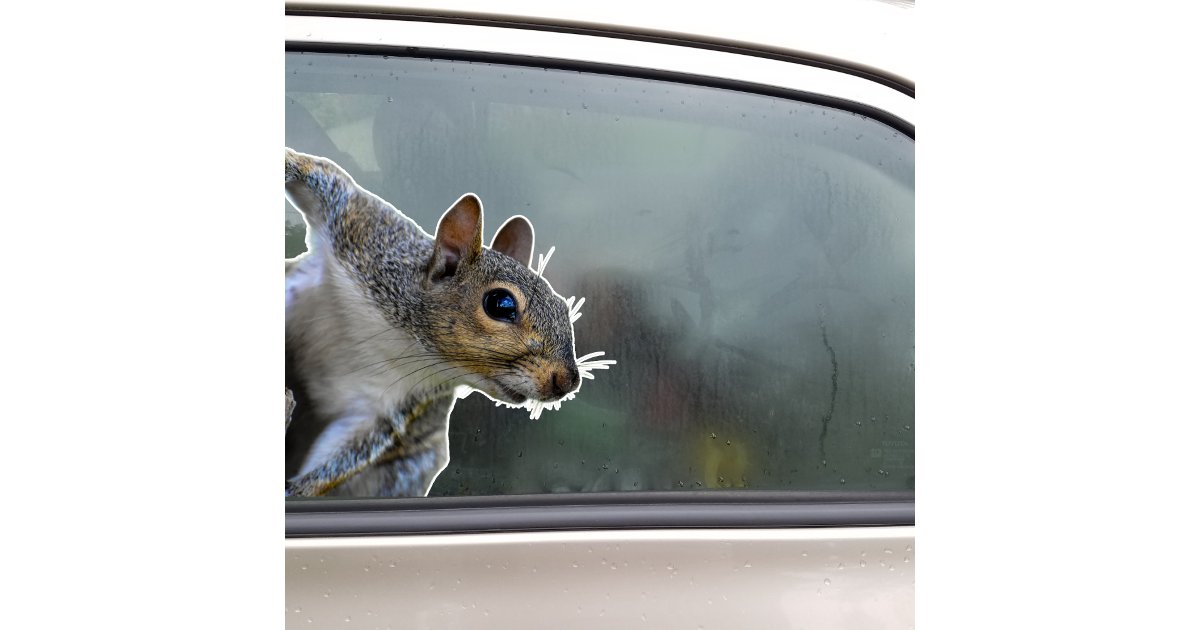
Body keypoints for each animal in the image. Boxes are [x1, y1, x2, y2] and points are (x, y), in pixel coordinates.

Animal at [284, 148, 612, 497]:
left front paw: (298, 489)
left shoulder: (387, 406)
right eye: (501, 304)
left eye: (563, 308)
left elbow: (351, 450)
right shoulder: (364, 231)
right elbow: (325, 177)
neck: (405, 340)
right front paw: (288, 164)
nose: (568, 381)